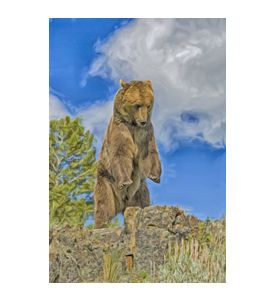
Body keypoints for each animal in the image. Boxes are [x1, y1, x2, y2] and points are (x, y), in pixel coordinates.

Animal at [94, 78, 163, 229]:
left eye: (148, 105)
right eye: (137, 105)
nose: (143, 121)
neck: (133, 124)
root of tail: (123, 203)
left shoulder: (146, 134)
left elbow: (149, 152)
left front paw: (155, 176)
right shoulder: (121, 128)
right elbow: (121, 153)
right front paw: (125, 182)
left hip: (138, 191)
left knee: (141, 205)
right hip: (107, 183)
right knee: (104, 208)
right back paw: (100, 226)